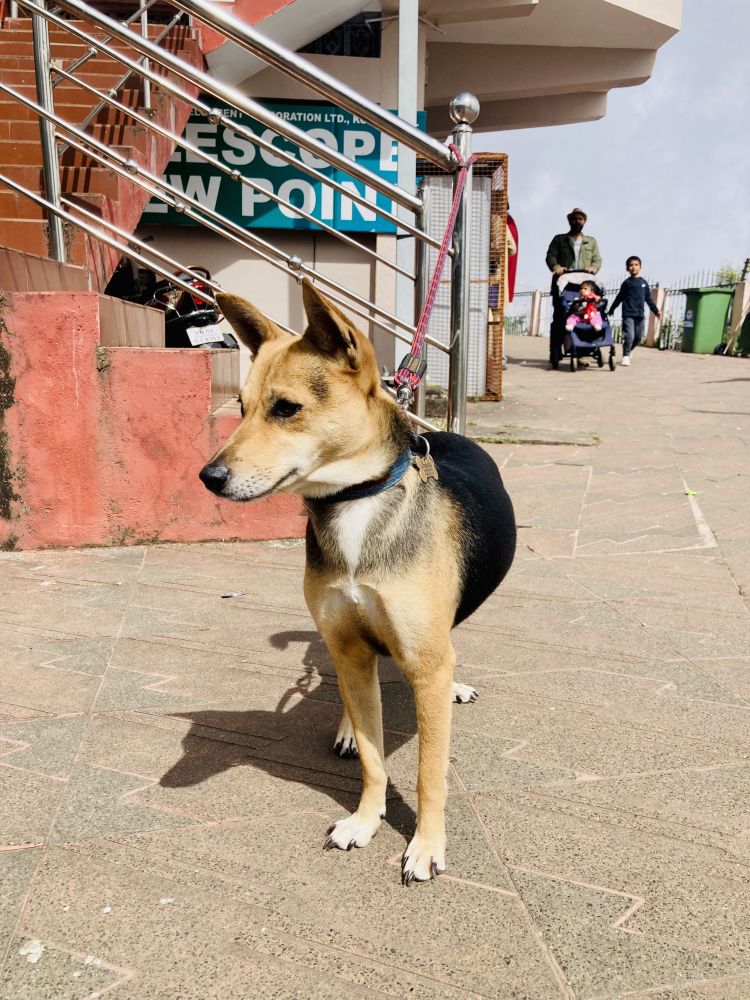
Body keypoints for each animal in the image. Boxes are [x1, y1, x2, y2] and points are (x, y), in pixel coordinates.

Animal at [199, 280, 516, 884]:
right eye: (241, 408)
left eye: (286, 408)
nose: (208, 477)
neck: (354, 501)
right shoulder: (346, 645)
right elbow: (373, 759)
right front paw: (366, 820)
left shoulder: (426, 660)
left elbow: (429, 773)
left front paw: (425, 846)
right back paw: (348, 726)